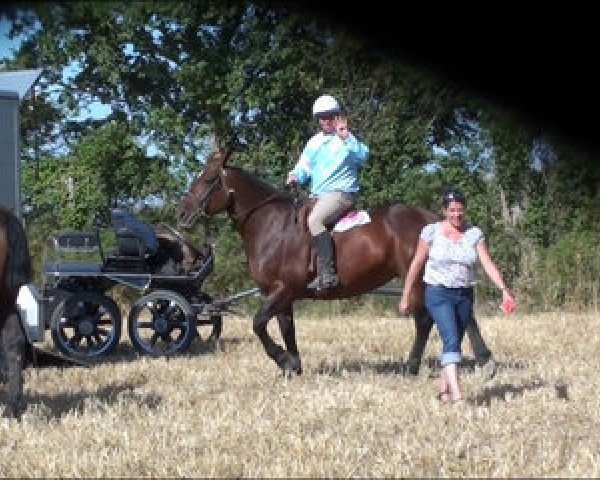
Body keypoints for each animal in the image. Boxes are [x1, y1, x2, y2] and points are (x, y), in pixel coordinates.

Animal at [176, 148, 494, 376]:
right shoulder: (280, 295)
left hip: (417, 278)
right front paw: (293, 366)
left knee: (427, 320)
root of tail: (432, 220)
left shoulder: (282, 290)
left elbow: (258, 324)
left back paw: (418, 365)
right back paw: (476, 361)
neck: (272, 225)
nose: (182, 213)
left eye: (208, 179)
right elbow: (286, 328)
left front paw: (282, 359)